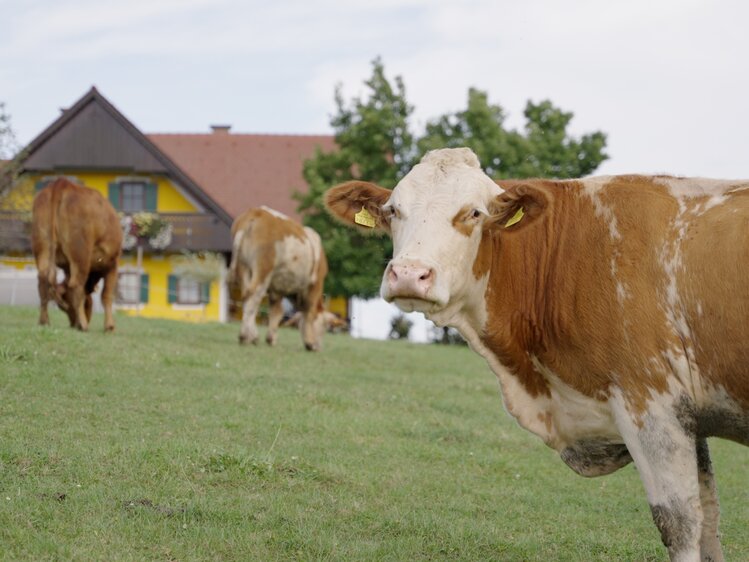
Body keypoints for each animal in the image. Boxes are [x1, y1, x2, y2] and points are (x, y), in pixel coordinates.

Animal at [31, 177, 122, 330]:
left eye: (64, 308)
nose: (73, 324)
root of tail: (63, 183)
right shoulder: (112, 264)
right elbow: (106, 295)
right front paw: (109, 327)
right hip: (81, 255)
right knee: (76, 285)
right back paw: (83, 325)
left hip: (42, 246)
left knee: (43, 281)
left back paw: (44, 321)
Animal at [228, 203, 328, 348]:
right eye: (325, 327)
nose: (319, 347)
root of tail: (256, 213)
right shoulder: (314, 285)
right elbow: (309, 312)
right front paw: (310, 342)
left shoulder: (277, 289)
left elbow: (276, 312)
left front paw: (271, 338)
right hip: (263, 270)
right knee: (253, 298)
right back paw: (246, 336)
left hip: (244, 268)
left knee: (246, 298)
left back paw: (250, 336)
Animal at [326, 148, 748, 560]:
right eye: (393, 210)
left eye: (473, 213)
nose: (410, 274)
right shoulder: (691, 416)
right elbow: (709, 520)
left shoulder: (651, 404)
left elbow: (680, 523)